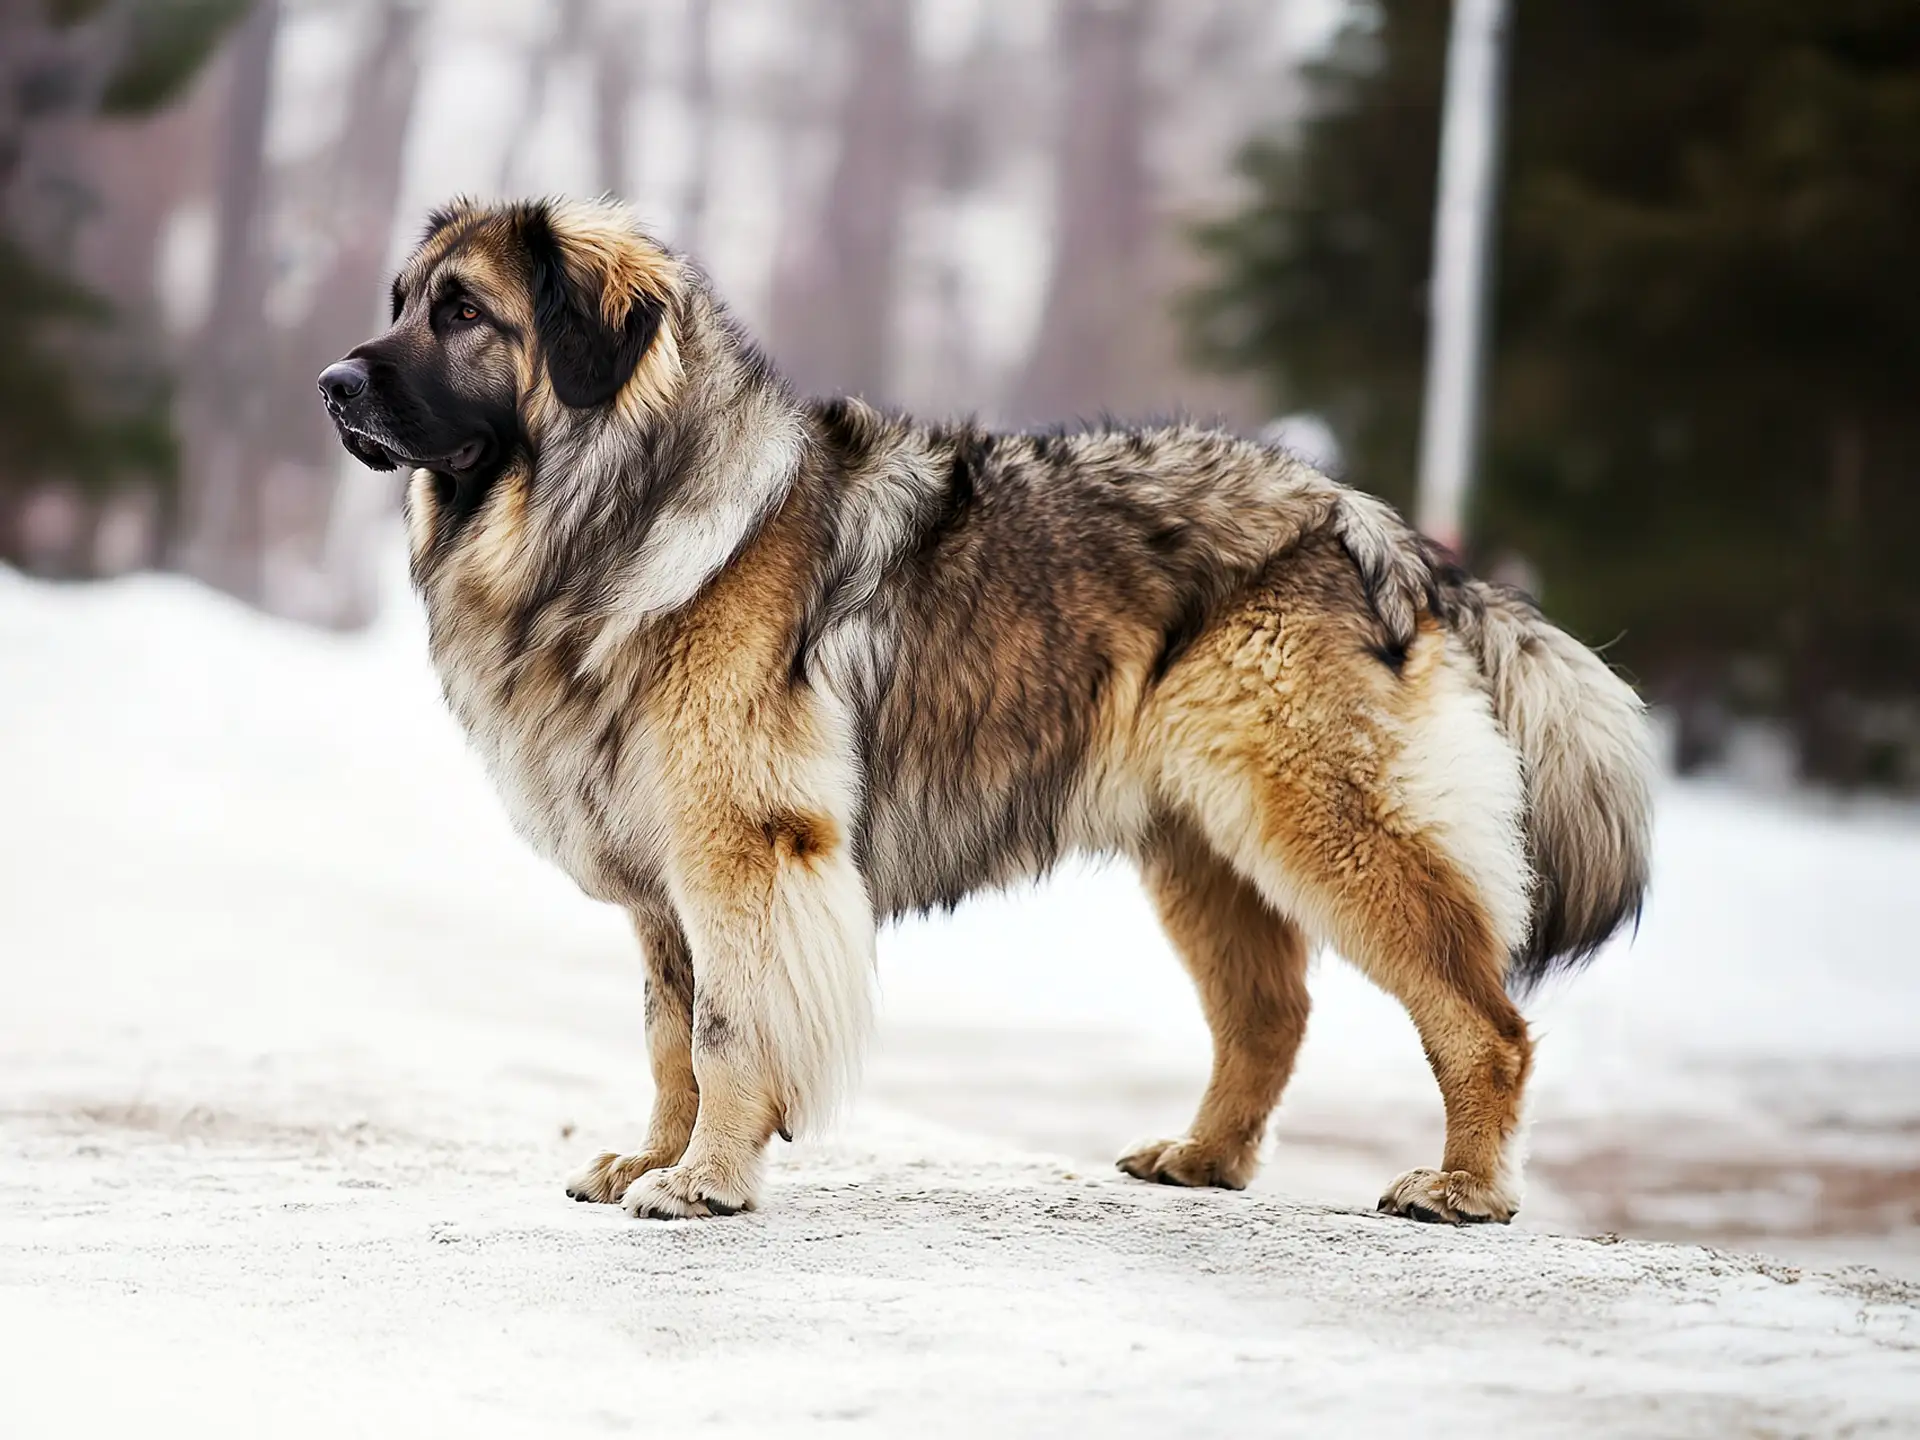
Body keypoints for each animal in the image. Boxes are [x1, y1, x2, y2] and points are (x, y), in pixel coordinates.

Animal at [314, 197, 1651, 1221]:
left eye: (465, 313)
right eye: (404, 298)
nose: (330, 381)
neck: (623, 509)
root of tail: (1372, 527)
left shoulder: (744, 850)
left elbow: (729, 1031)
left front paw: (703, 1180)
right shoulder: (662, 887)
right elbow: (667, 1039)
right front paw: (655, 1154)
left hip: (1327, 822)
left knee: (1483, 1020)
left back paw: (1462, 1188)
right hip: (1202, 845)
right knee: (1269, 1016)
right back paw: (1206, 1159)